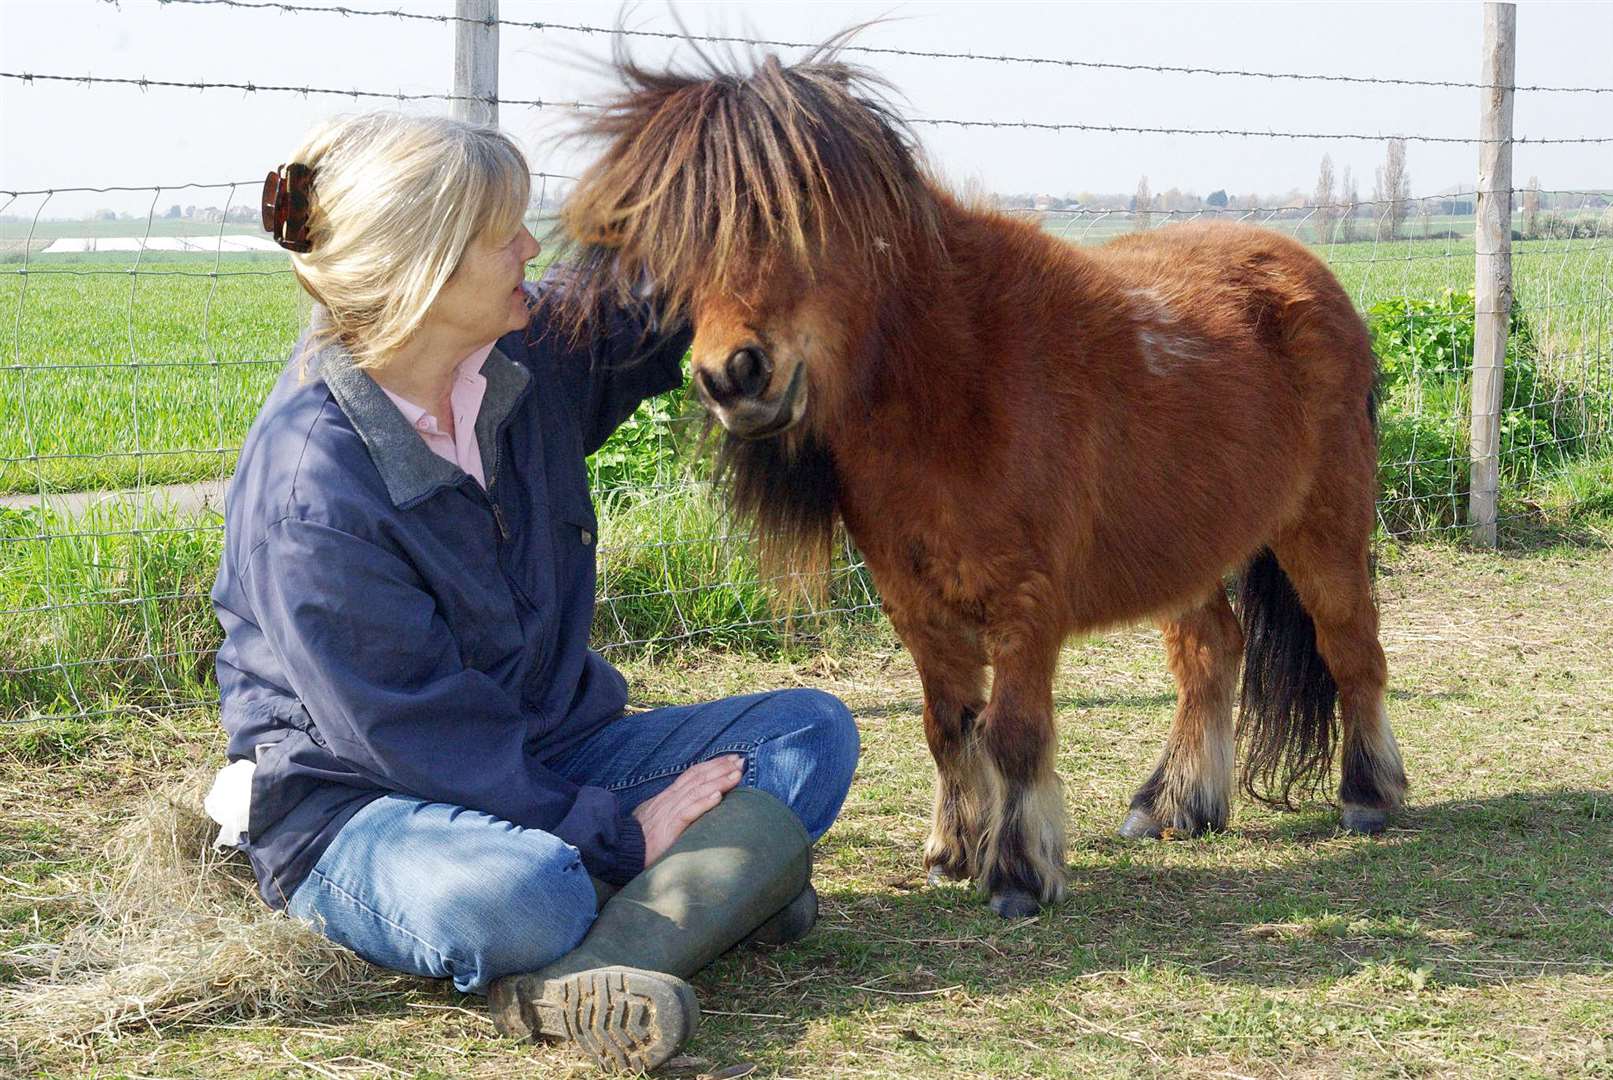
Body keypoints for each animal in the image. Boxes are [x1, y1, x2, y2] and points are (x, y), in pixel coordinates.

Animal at [548, 46, 1406, 915]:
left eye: (801, 214)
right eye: (670, 234)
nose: (734, 376)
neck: (959, 381)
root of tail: (1313, 276)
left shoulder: (1025, 606)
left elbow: (1013, 734)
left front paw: (1019, 874)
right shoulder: (917, 607)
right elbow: (948, 728)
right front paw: (954, 852)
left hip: (1321, 524)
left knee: (1350, 646)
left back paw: (1367, 797)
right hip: (1183, 550)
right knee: (1211, 656)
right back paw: (1172, 806)